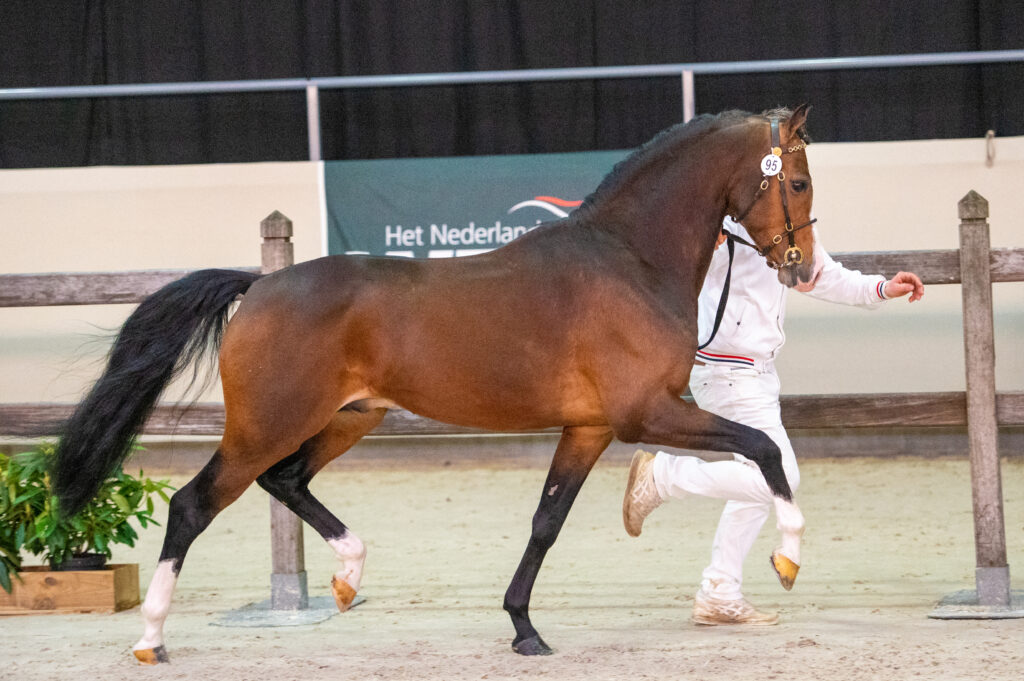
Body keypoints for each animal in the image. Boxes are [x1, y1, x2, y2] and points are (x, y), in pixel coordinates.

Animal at [53, 105, 817, 663]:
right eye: (800, 182)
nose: (803, 266)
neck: (629, 260)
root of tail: (261, 284)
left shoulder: (590, 427)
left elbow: (546, 522)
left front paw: (523, 628)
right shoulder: (646, 414)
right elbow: (766, 452)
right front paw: (787, 557)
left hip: (347, 417)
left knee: (287, 480)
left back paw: (348, 575)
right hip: (264, 426)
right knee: (194, 504)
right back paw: (151, 637)